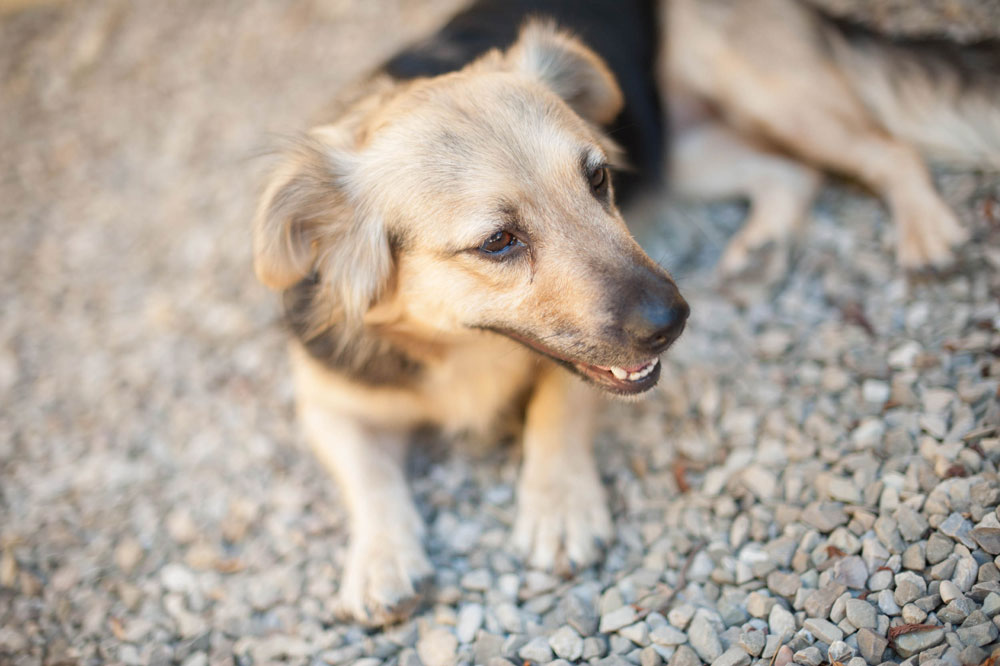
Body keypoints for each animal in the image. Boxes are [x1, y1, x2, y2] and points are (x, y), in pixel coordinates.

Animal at [254, 0, 684, 624]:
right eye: (498, 241)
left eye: (599, 178)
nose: (673, 321)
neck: (457, 347)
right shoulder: (328, 401)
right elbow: (368, 476)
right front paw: (381, 557)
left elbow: (558, 405)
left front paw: (558, 504)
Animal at [660, 0, 996, 278]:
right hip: (684, 154)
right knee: (797, 172)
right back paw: (764, 246)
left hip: (763, 95)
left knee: (893, 151)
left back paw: (923, 229)